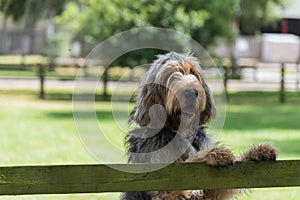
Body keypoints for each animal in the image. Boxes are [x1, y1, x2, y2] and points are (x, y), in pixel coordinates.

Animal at [120, 52, 278, 200]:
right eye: (169, 75)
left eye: (193, 72)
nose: (192, 92)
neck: (180, 131)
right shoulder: (162, 187)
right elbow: (189, 162)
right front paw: (213, 153)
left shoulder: (212, 191)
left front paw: (258, 151)